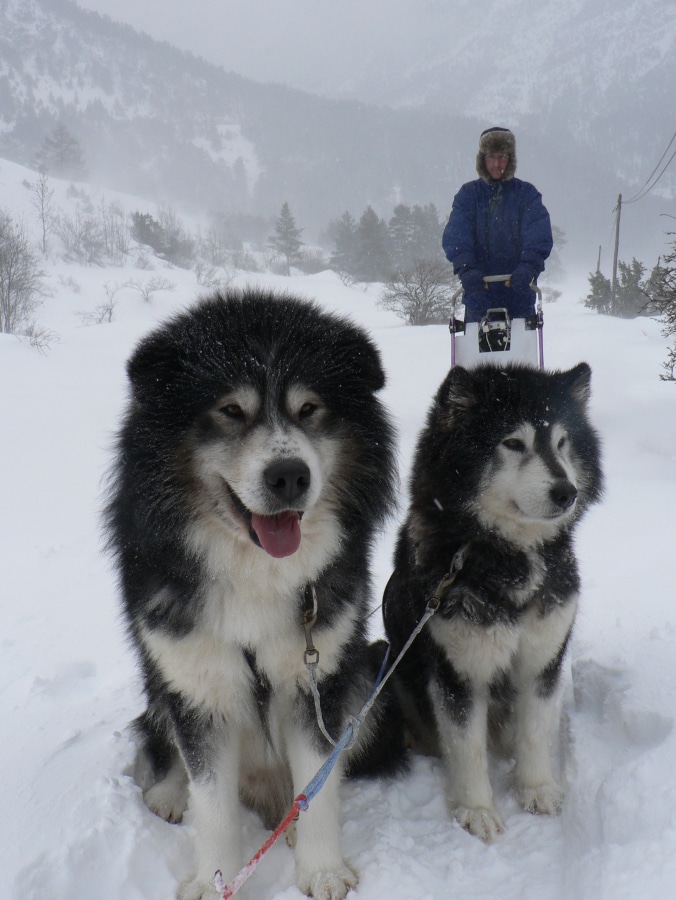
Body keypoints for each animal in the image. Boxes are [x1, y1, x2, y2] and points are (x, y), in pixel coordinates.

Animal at [103, 290, 404, 900]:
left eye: (309, 408)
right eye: (230, 411)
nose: (289, 475)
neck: (255, 570)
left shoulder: (320, 675)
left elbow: (318, 784)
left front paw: (321, 869)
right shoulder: (194, 677)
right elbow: (211, 797)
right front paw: (213, 878)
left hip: (370, 669)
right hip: (160, 680)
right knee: (164, 740)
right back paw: (169, 793)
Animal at [382, 362, 604, 840]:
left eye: (562, 442)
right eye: (513, 443)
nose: (566, 491)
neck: (506, 556)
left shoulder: (543, 657)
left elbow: (535, 730)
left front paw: (536, 788)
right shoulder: (459, 672)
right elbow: (468, 748)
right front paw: (477, 810)